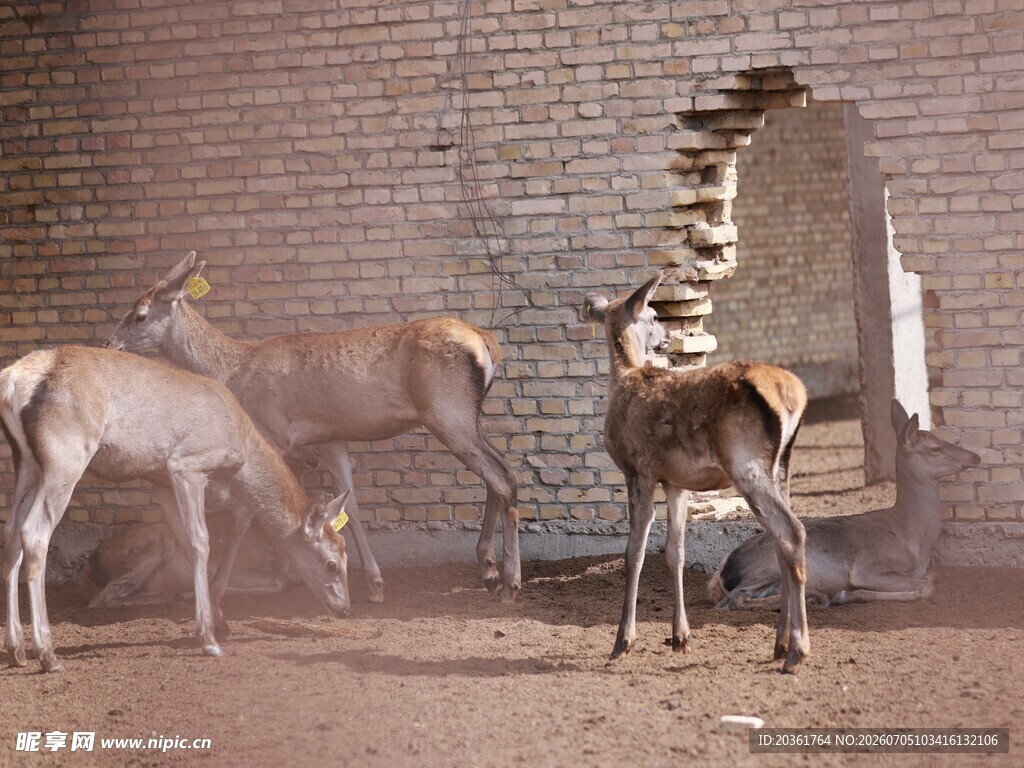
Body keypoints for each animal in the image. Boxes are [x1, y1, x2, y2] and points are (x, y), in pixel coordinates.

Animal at [1, 345, 350, 672]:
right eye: (332, 563)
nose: (345, 608)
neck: (242, 446)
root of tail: (12, 381)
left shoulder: (162, 482)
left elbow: (184, 538)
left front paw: (220, 622)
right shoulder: (187, 465)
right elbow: (201, 541)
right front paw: (208, 638)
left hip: (26, 462)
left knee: (11, 533)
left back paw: (16, 650)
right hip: (66, 454)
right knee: (34, 533)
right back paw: (48, 654)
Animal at [104, 251, 520, 604]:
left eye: (139, 314)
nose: (109, 344)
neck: (233, 370)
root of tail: (487, 343)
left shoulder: (272, 431)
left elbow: (246, 514)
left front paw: (221, 587)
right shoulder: (330, 437)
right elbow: (349, 502)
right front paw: (375, 585)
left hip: (447, 412)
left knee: (501, 477)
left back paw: (509, 582)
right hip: (466, 416)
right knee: (501, 469)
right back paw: (487, 570)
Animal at [582, 272, 811, 673]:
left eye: (655, 314)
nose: (666, 337)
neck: (625, 376)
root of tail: (794, 394)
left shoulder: (638, 469)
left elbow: (634, 553)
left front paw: (623, 641)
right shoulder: (676, 482)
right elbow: (675, 552)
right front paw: (680, 637)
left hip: (745, 462)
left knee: (792, 532)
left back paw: (797, 650)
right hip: (781, 464)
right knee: (780, 540)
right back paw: (780, 644)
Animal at [708, 400, 981, 610]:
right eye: (935, 448)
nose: (975, 457)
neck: (912, 538)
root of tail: (722, 571)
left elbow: (933, 576)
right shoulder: (867, 566)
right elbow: (927, 586)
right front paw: (846, 595)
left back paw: (814, 596)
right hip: (768, 566)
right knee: (733, 600)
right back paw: (815, 598)